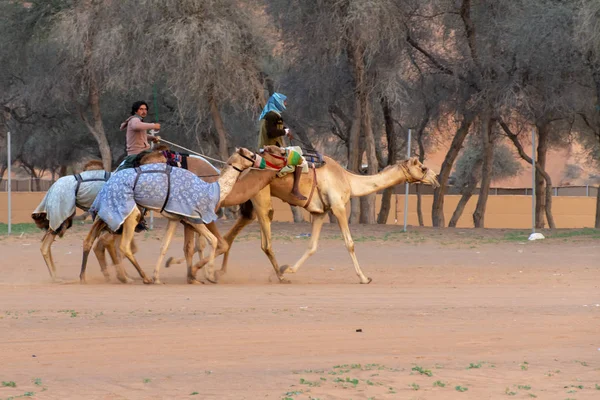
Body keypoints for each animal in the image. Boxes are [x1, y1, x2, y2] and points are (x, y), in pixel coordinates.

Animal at [199, 156, 438, 284]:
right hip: (260, 197)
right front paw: (364, 277)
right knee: (265, 242)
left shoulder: (320, 212)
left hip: (249, 202)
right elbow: (350, 243)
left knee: (231, 233)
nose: (435, 179)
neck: (349, 180)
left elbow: (312, 246)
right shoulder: (338, 207)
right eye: (423, 167)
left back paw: (212, 271)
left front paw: (290, 268)